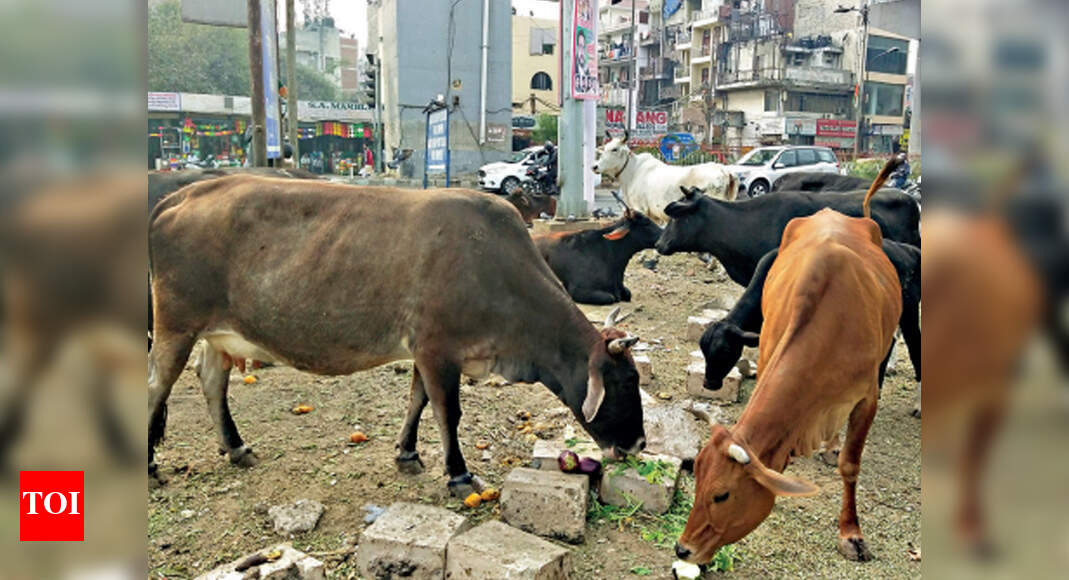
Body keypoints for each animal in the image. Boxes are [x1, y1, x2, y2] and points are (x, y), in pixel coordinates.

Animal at [148, 176, 647, 497]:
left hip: (216, 334)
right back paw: (152, 466)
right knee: (158, 386)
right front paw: (458, 474)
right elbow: (447, 412)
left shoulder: (426, 350)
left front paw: (406, 453)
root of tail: (183, 194)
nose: (639, 445)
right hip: (175, 325)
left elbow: (418, 401)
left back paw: (235, 447)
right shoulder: (438, 348)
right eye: (625, 382)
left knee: (212, 380)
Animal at [592, 130, 737, 225]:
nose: (594, 166)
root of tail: (724, 170)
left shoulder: (641, 209)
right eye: (604, 149)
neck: (633, 171)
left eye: (615, 149)